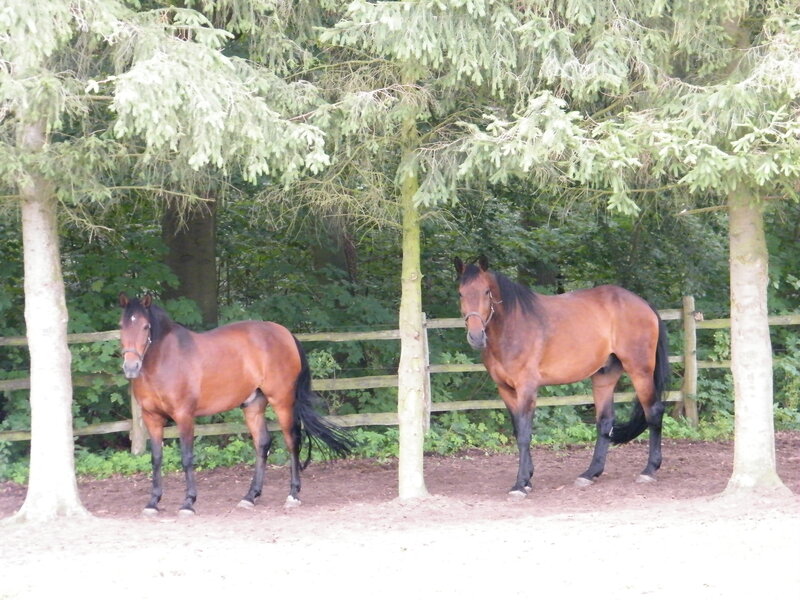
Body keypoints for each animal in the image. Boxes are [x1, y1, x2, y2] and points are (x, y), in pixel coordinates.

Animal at [118, 293, 354, 515]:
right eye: (121, 326)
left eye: (146, 326)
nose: (131, 367)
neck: (164, 360)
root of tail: (285, 333)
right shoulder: (151, 417)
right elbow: (156, 458)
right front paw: (153, 502)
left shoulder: (184, 416)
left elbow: (186, 457)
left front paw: (188, 503)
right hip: (253, 405)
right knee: (263, 443)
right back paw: (250, 496)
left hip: (282, 402)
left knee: (292, 441)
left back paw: (293, 495)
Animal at [454, 256, 669, 497]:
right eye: (461, 293)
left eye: (486, 292)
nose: (475, 336)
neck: (512, 326)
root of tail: (644, 304)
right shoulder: (505, 390)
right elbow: (518, 431)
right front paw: (527, 478)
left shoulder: (527, 388)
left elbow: (525, 434)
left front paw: (520, 484)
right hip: (604, 377)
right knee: (605, 421)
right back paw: (590, 473)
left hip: (640, 371)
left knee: (653, 412)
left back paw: (649, 470)